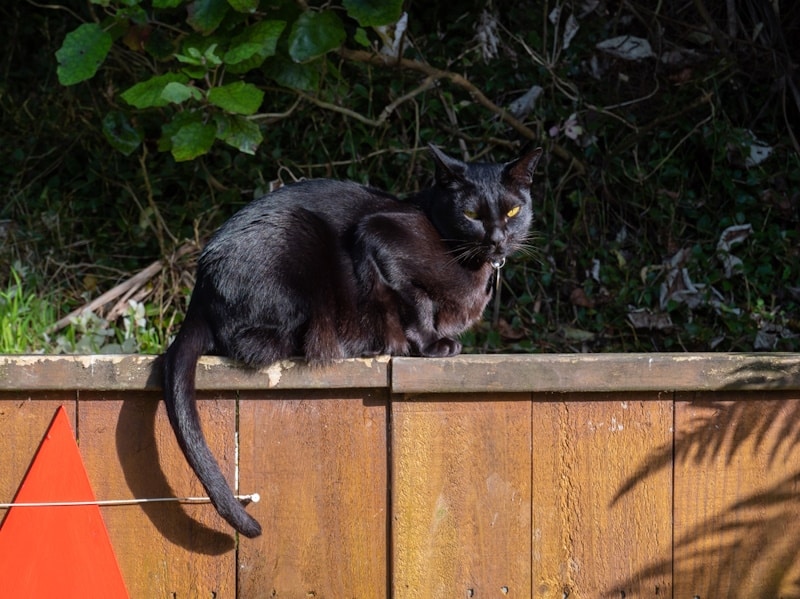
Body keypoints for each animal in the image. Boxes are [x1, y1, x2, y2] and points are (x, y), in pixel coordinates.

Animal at [166, 143, 548, 536]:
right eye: (471, 214)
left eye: (513, 211)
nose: (497, 240)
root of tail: (200, 290)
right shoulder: (378, 235)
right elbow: (415, 301)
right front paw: (431, 345)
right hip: (298, 240)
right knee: (255, 342)